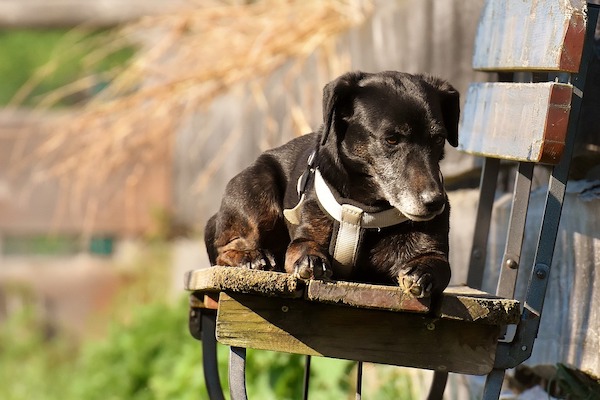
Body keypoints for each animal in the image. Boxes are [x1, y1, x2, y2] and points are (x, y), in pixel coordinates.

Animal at [204, 71, 458, 296]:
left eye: (438, 139)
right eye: (391, 139)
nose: (435, 202)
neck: (366, 207)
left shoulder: (434, 252)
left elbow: (440, 266)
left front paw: (423, 272)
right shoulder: (304, 235)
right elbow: (302, 245)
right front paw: (311, 258)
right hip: (256, 191)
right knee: (223, 250)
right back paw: (251, 257)